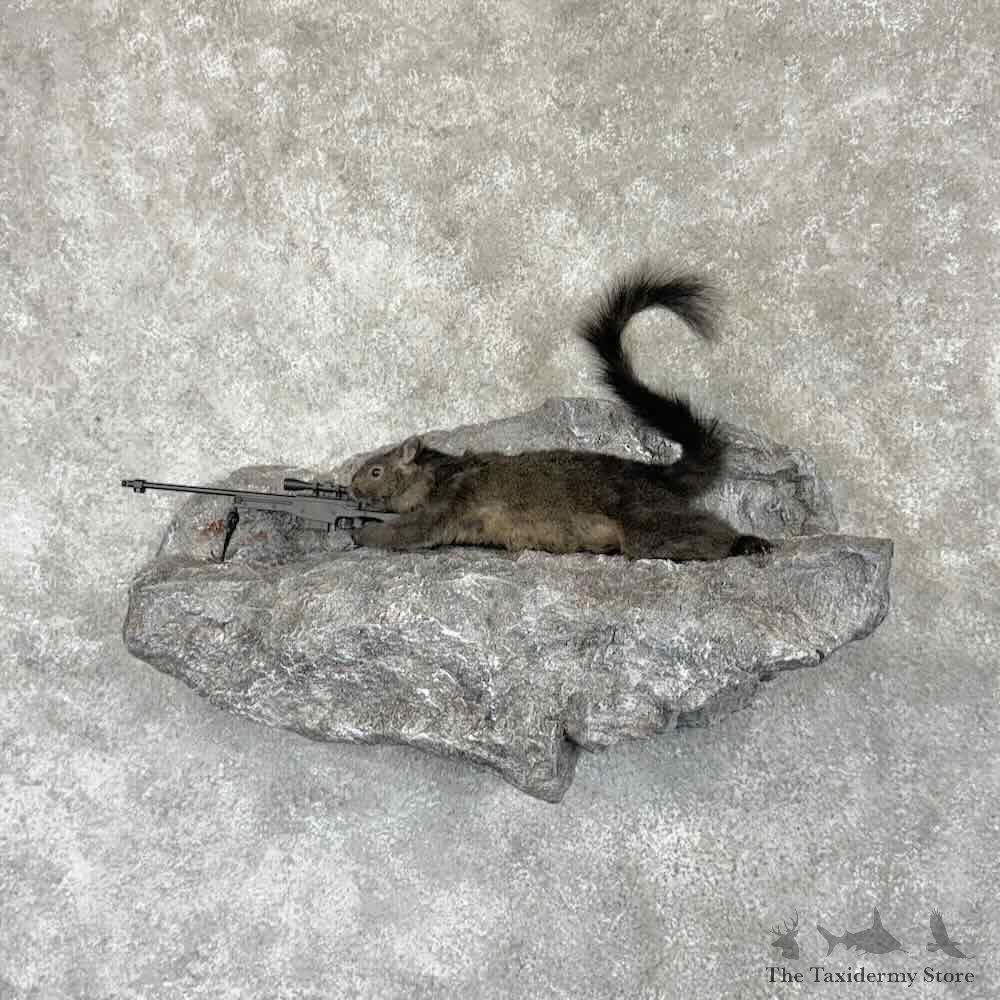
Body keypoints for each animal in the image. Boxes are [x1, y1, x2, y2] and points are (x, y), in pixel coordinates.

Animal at [349, 267, 772, 561]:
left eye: (375, 470)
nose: (351, 486)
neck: (438, 470)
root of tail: (652, 473)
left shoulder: (446, 505)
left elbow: (404, 531)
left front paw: (358, 534)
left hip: (648, 521)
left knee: (707, 532)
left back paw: (749, 541)